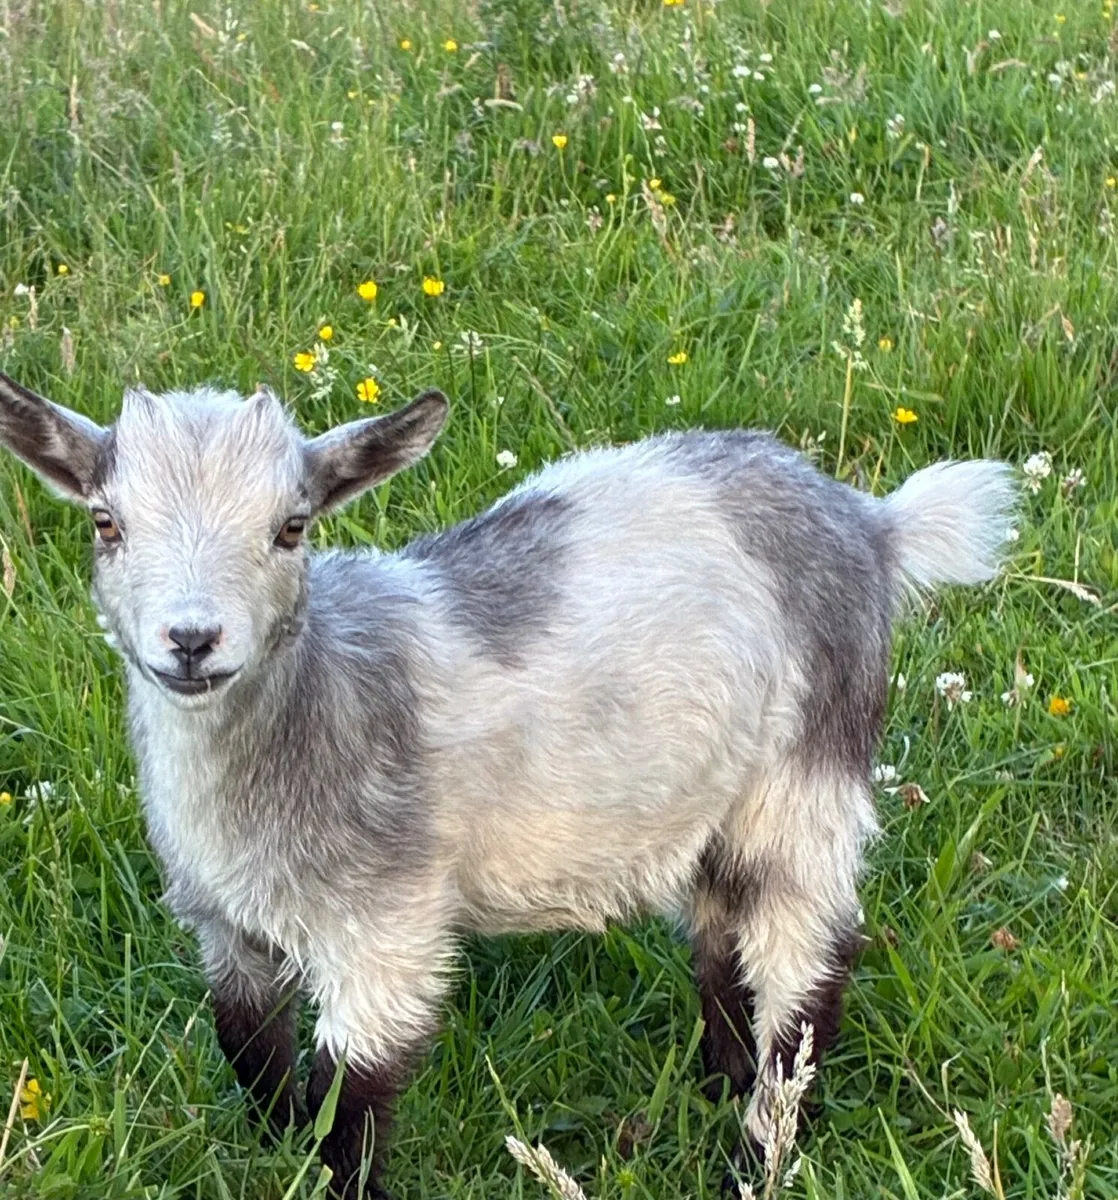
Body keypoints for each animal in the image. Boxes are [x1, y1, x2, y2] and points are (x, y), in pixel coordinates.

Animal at [0, 371, 1014, 1197]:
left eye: (291, 529)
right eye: (105, 523)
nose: (191, 640)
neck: (318, 706)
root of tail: (870, 522)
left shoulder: (387, 929)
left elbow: (348, 1099)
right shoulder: (226, 925)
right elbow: (251, 1054)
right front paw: (271, 1152)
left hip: (808, 771)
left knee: (807, 973)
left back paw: (754, 1153)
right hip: (715, 799)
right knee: (723, 934)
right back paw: (716, 1081)